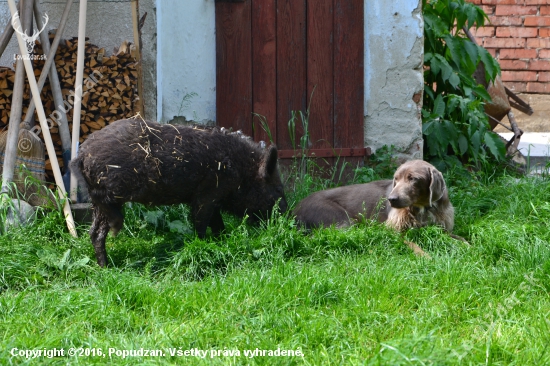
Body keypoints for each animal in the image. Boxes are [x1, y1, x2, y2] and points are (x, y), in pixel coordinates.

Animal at [70, 119, 288, 266]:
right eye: (278, 189)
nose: (287, 219)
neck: (241, 170)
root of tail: (82, 155)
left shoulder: (212, 198)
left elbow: (217, 224)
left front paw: (222, 240)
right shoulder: (206, 195)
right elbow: (201, 223)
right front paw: (203, 243)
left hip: (96, 202)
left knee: (94, 233)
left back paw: (106, 267)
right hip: (109, 193)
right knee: (104, 222)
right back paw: (114, 242)